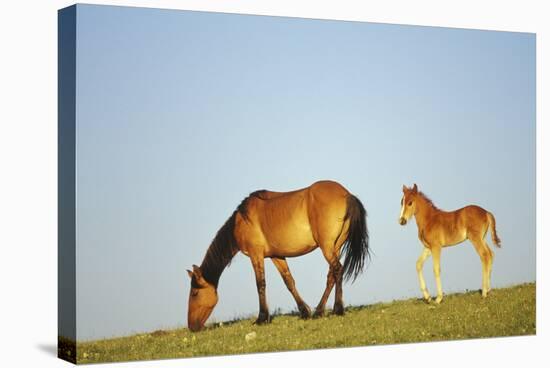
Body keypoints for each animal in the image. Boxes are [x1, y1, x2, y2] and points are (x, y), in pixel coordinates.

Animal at [185, 180, 370, 332]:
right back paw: (318, 311)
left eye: (194, 293)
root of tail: (346, 194)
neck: (242, 220)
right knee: (332, 274)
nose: (192, 327)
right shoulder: (277, 256)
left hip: (327, 247)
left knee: (337, 269)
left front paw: (261, 318)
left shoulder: (256, 255)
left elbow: (260, 284)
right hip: (335, 247)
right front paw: (304, 312)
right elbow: (289, 282)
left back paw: (337, 309)